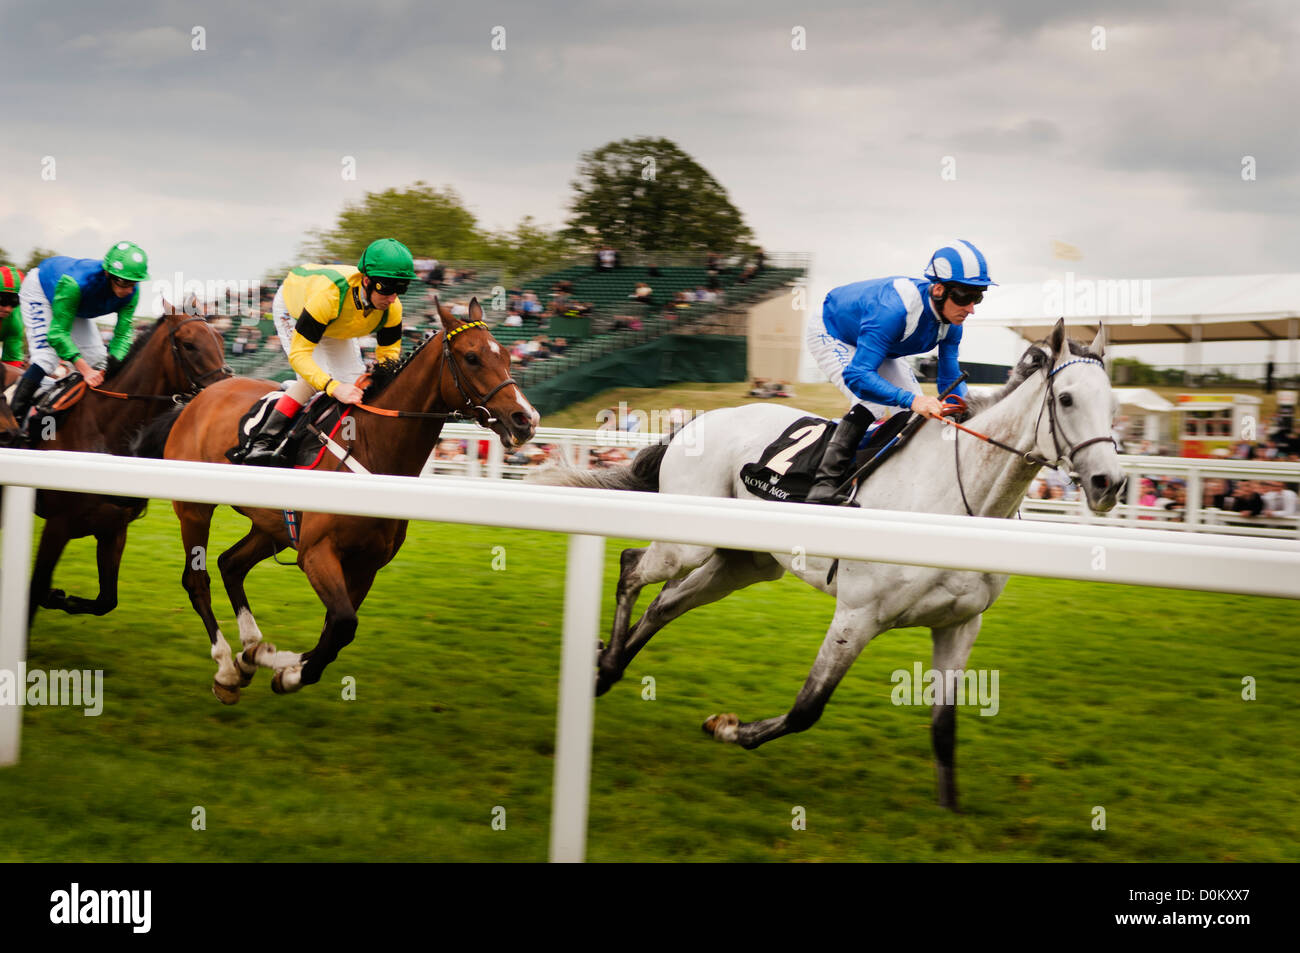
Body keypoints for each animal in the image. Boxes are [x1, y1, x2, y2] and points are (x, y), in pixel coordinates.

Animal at [24, 299, 231, 624]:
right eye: (189, 345)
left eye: (221, 340)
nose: (225, 391)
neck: (103, 428)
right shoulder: (58, 524)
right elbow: (35, 587)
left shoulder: (114, 527)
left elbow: (106, 600)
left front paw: (59, 597)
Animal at [146, 301, 538, 702]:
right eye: (472, 357)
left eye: (507, 356)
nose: (526, 419)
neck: (371, 445)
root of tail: (196, 400)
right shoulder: (317, 553)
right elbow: (343, 624)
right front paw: (286, 670)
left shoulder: (366, 564)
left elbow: (335, 631)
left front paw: (280, 665)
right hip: (194, 510)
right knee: (198, 580)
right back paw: (227, 667)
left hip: (273, 526)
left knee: (231, 565)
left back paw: (252, 649)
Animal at [533, 321, 1123, 811]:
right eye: (1066, 398)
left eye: (1114, 405)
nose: (1108, 484)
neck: (955, 502)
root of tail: (694, 422)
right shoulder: (858, 616)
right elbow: (807, 708)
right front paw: (728, 728)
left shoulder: (960, 625)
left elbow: (944, 727)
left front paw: (952, 815)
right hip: (690, 544)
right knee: (633, 567)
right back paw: (607, 663)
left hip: (743, 564)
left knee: (664, 604)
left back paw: (606, 667)